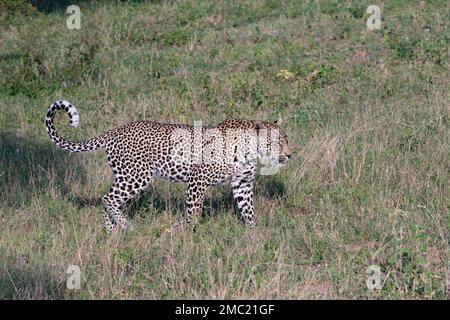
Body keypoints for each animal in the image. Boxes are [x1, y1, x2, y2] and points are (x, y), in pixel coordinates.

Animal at [45, 101, 292, 234]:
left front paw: (255, 235)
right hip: (136, 176)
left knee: (110, 200)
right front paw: (180, 231)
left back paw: (112, 233)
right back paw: (126, 226)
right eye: (276, 142)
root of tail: (114, 131)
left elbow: (249, 211)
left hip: (126, 177)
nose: (290, 155)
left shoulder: (242, 184)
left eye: (286, 140)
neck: (250, 151)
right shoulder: (197, 180)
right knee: (107, 199)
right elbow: (193, 213)